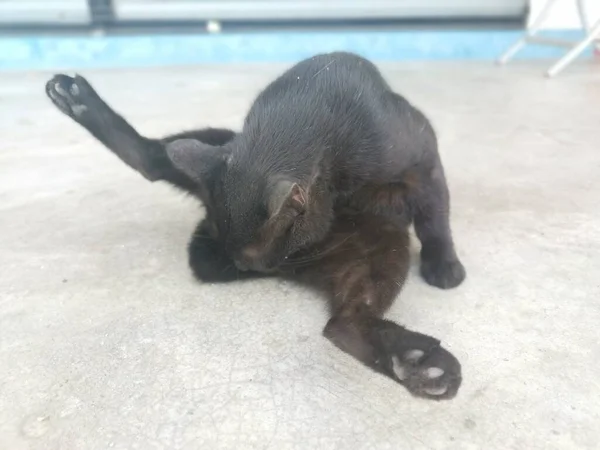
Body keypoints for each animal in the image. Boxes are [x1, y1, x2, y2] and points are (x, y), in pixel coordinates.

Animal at [47, 51, 466, 400]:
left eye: (259, 255)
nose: (257, 268)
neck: (311, 109)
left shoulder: (424, 162)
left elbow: (435, 217)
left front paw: (444, 265)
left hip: (380, 243)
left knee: (344, 321)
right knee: (343, 323)